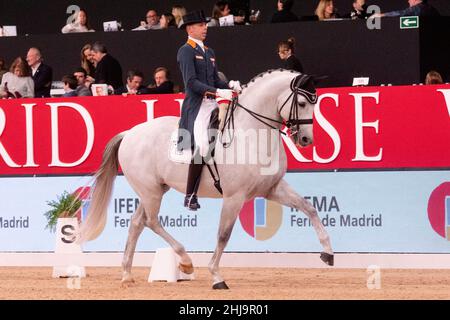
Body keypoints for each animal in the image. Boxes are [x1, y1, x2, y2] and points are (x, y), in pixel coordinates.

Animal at [78, 69, 334, 290]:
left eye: (315, 103)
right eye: (302, 104)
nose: (305, 140)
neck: (251, 134)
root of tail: (130, 133)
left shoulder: (272, 188)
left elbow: (310, 208)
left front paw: (328, 253)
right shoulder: (234, 197)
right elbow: (223, 235)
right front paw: (216, 276)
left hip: (155, 189)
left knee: (136, 222)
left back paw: (127, 274)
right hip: (150, 191)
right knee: (151, 221)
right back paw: (185, 262)